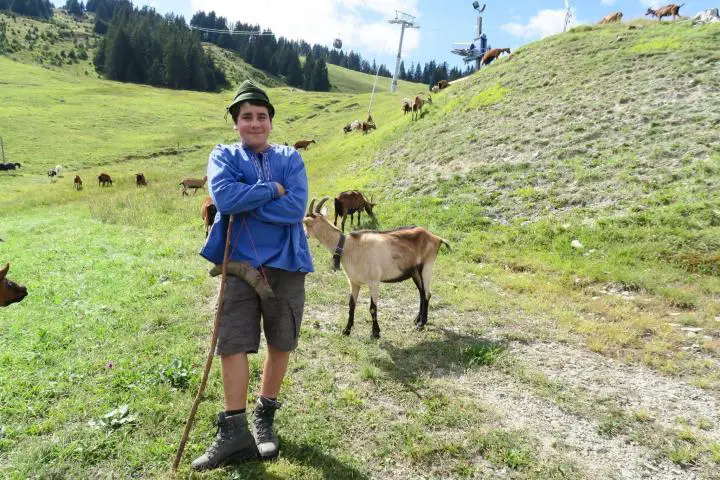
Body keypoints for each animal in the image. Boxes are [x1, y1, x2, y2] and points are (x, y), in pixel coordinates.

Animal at [304, 197, 450, 340]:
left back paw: (421, 324)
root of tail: (436, 238)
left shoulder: (374, 282)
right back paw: (417, 320)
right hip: (415, 272)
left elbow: (373, 308)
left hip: (427, 267)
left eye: (305, 222)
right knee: (421, 293)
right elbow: (351, 306)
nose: (304, 235)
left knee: (427, 293)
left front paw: (375, 333)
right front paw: (346, 330)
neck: (348, 247)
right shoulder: (354, 282)